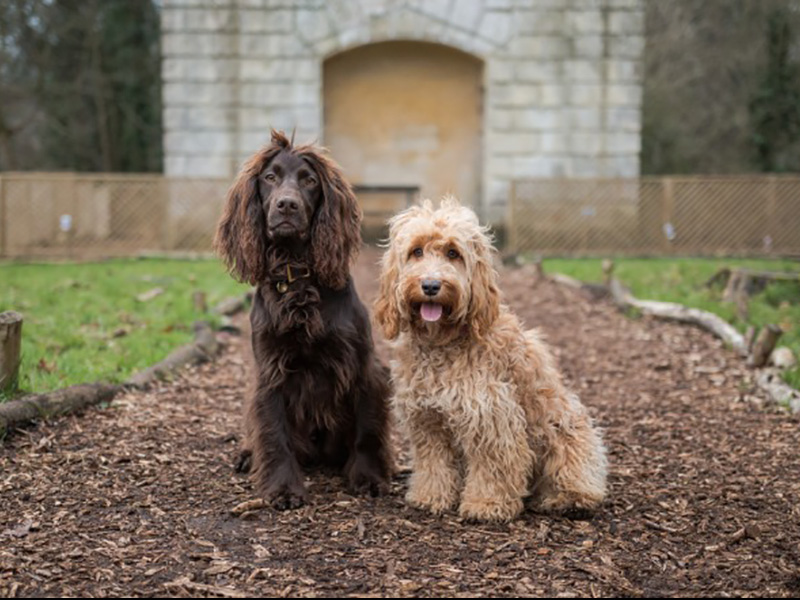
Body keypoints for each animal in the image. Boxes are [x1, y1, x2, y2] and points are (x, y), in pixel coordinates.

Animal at [216, 131, 394, 510]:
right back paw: (247, 455)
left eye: (309, 181)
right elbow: (274, 433)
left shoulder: (363, 367)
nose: (287, 205)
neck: (296, 274)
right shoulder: (270, 371)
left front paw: (369, 478)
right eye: (270, 177)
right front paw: (283, 488)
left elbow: (368, 429)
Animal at [376, 197, 608, 520]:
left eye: (453, 253)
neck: (442, 342)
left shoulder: (491, 416)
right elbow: (433, 463)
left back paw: (565, 499)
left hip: (567, 433)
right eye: (416, 251)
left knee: (579, 479)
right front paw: (430, 496)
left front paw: (486, 504)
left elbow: (493, 466)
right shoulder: (427, 419)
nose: (431, 285)